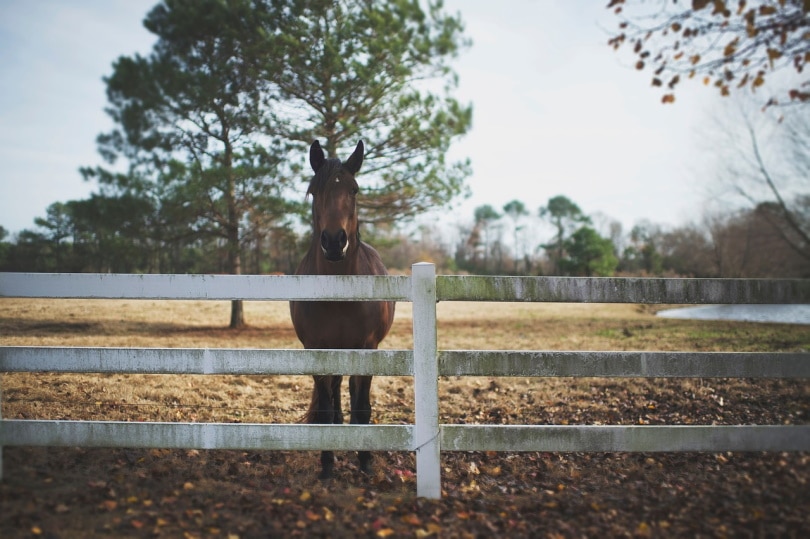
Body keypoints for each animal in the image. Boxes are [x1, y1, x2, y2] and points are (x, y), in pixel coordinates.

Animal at [290, 140, 394, 480]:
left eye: (354, 189)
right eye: (314, 190)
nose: (335, 242)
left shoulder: (368, 347)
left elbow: (362, 405)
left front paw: (365, 461)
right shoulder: (316, 348)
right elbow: (324, 408)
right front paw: (327, 465)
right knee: (335, 391)